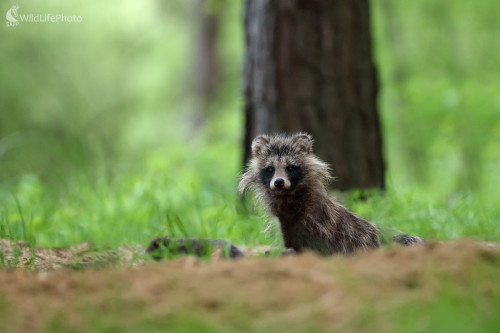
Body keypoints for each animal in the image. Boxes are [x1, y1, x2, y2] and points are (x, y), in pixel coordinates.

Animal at [239, 132, 426, 254]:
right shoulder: (286, 226)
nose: (278, 182)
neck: (287, 198)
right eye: (270, 169)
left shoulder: (319, 226)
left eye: (290, 168)